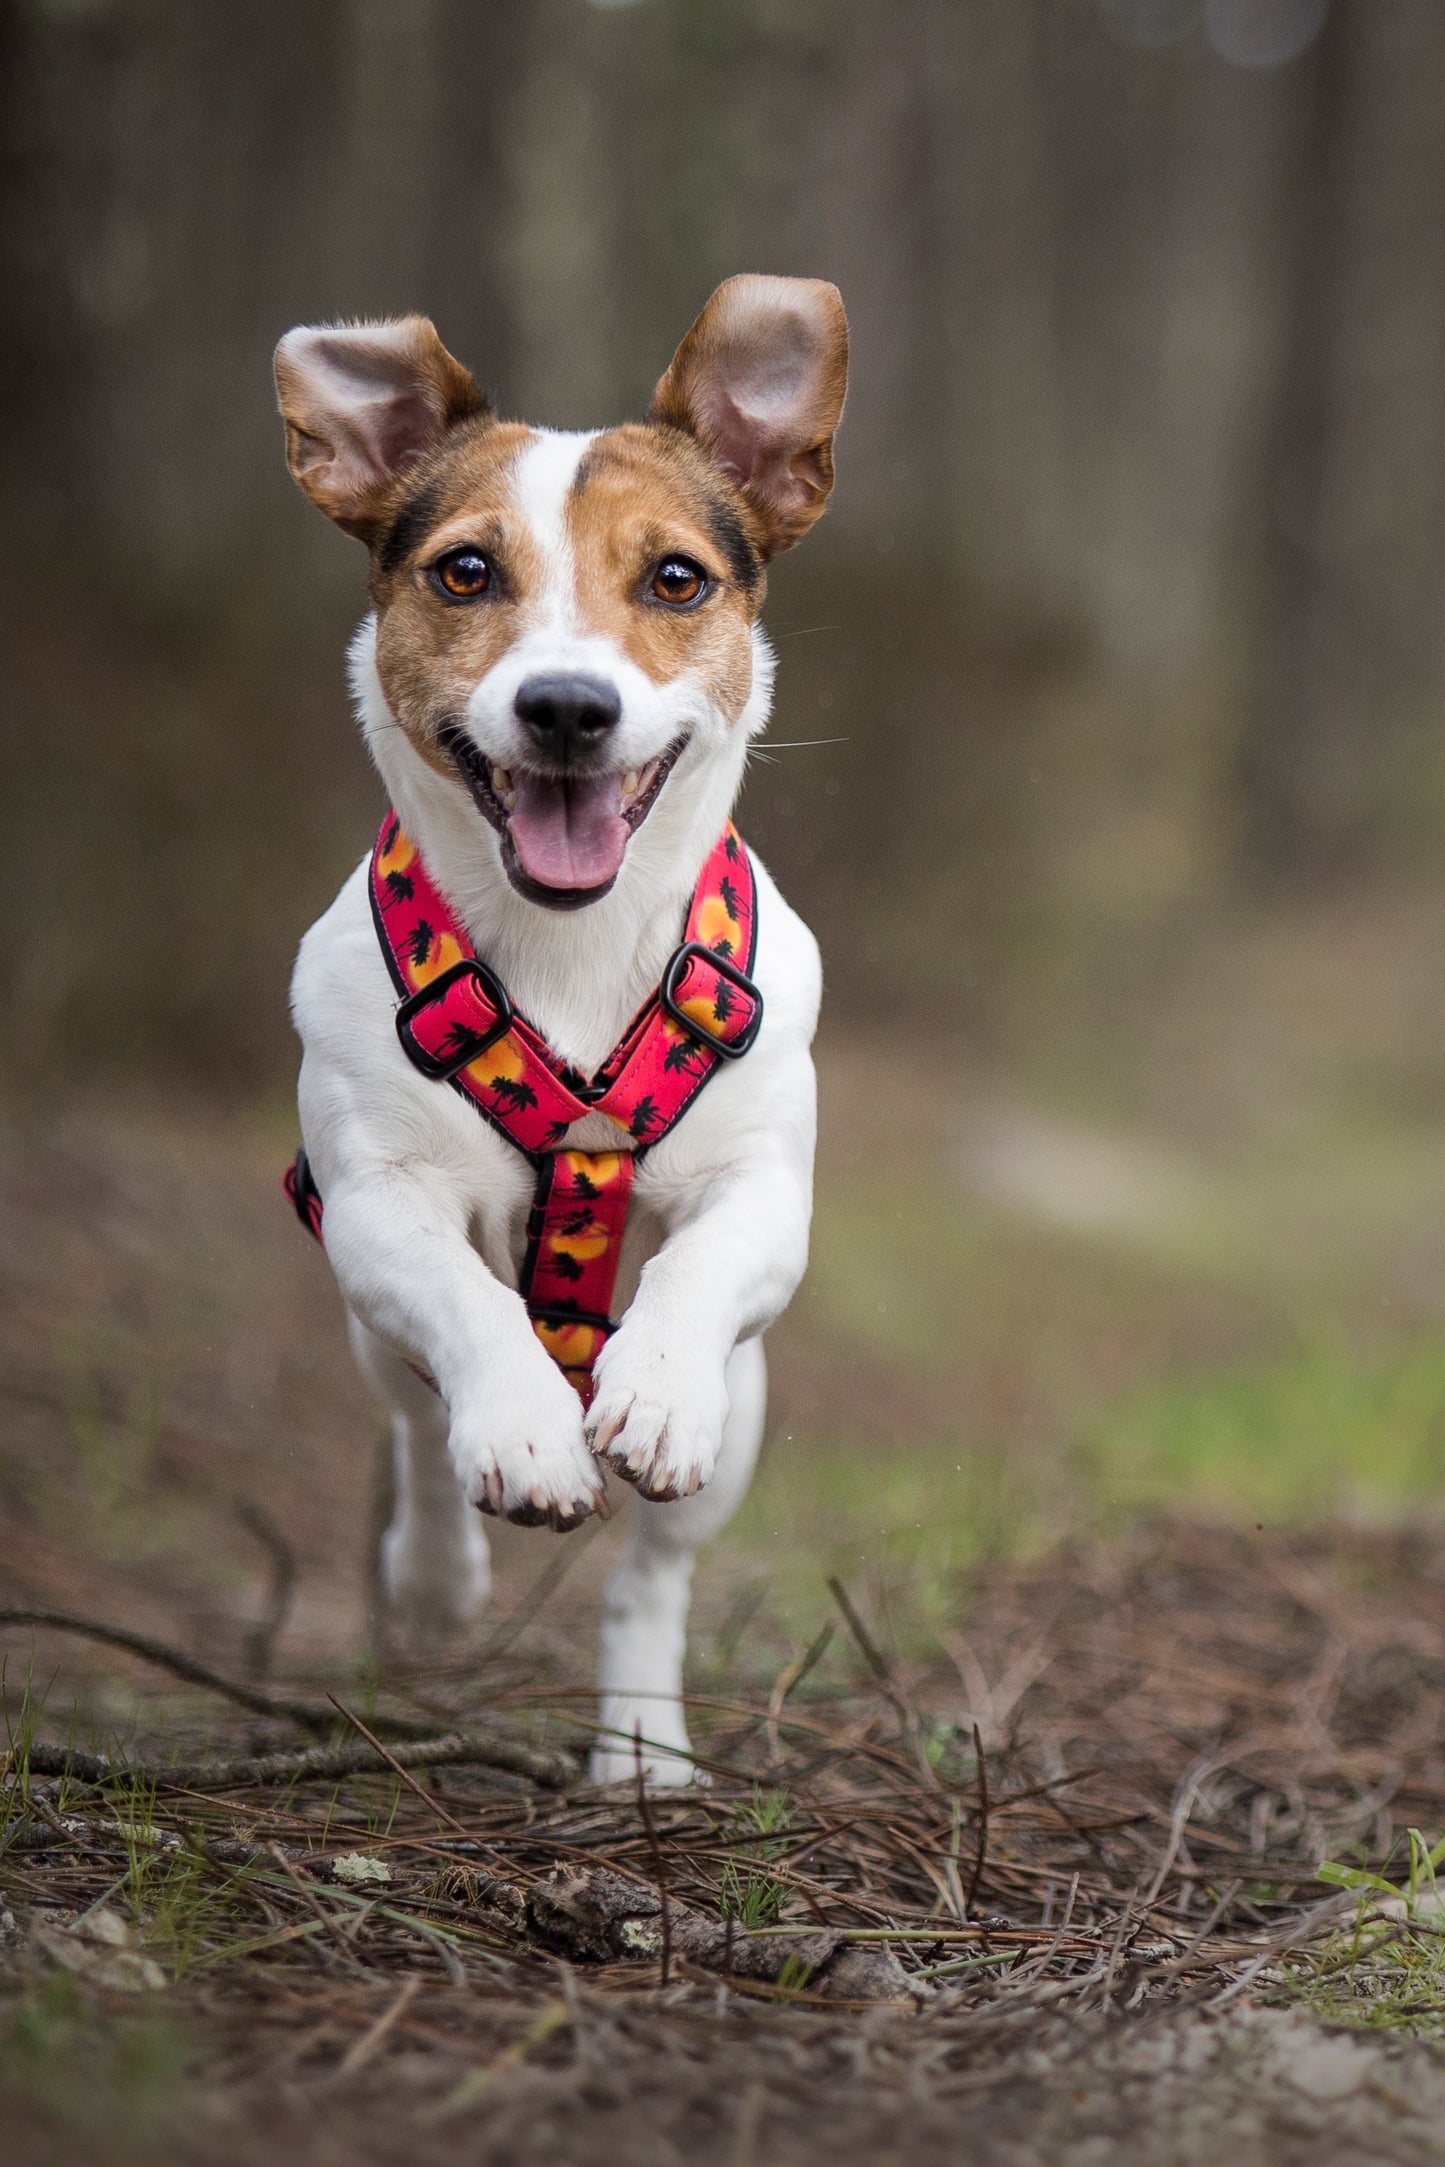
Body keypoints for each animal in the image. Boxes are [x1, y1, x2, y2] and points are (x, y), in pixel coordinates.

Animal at [274, 279, 849, 1785]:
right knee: (420, 1429)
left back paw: (641, 1744)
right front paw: (530, 1427)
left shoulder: (763, 1191)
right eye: (466, 571)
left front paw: (644, 1385)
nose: (569, 707)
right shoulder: (373, 1201)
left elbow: (699, 1266)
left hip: (744, 1418)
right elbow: (470, 1306)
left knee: (650, 1575)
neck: (571, 950)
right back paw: (434, 1575)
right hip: (370, 1332)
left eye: (676, 580)